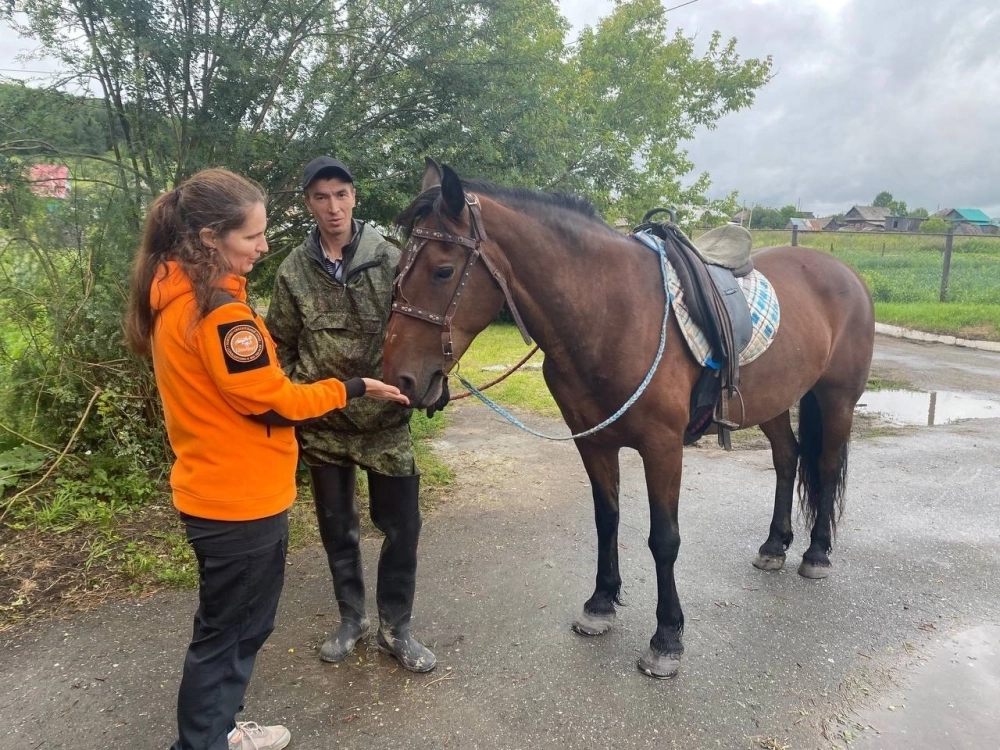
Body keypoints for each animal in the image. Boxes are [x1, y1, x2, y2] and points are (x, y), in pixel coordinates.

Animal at [382, 160, 876, 680]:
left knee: (824, 467)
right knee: (787, 458)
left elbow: (664, 539)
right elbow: (607, 519)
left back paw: (816, 553)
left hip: (837, 399)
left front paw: (667, 637)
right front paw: (600, 604)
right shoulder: (594, 442)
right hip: (775, 401)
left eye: (442, 270)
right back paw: (775, 546)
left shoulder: (663, 448)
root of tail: (847, 273)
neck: (611, 315)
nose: (399, 378)